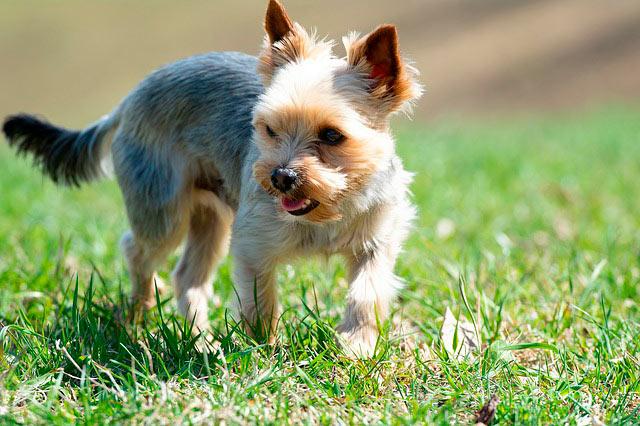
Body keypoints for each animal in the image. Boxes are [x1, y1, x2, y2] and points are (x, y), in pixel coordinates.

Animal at [2, 0, 422, 356]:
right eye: (269, 129)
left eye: (333, 135)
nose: (281, 177)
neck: (326, 207)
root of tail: (128, 100)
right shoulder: (254, 246)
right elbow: (259, 303)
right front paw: (262, 353)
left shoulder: (377, 240)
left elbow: (367, 292)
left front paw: (357, 344)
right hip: (162, 208)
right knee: (137, 249)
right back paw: (138, 318)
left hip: (211, 218)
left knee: (188, 275)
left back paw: (198, 338)